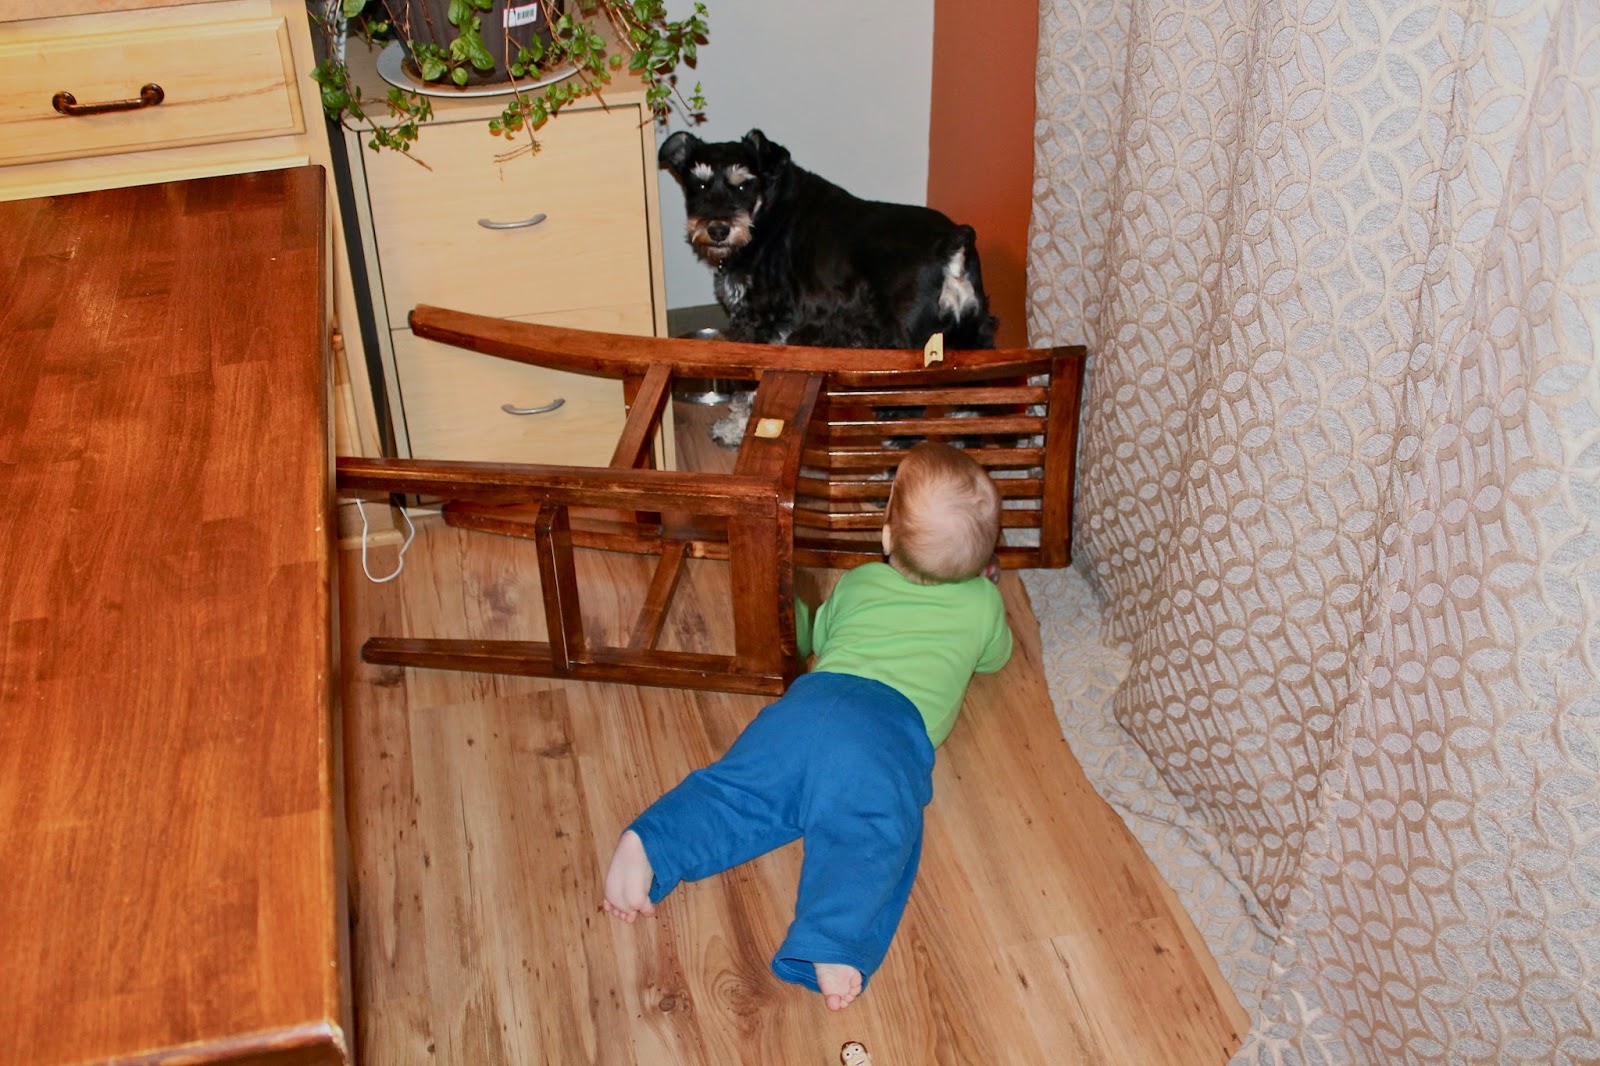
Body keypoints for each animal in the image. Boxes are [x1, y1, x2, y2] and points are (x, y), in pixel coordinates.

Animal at [659, 129, 997, 443]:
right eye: (700, 184)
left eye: (742, 185)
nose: (718, 230)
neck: (766, 210)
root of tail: (951, 244)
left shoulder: (758, 321)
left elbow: (749, 388)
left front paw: (735, 429)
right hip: (971, 338)